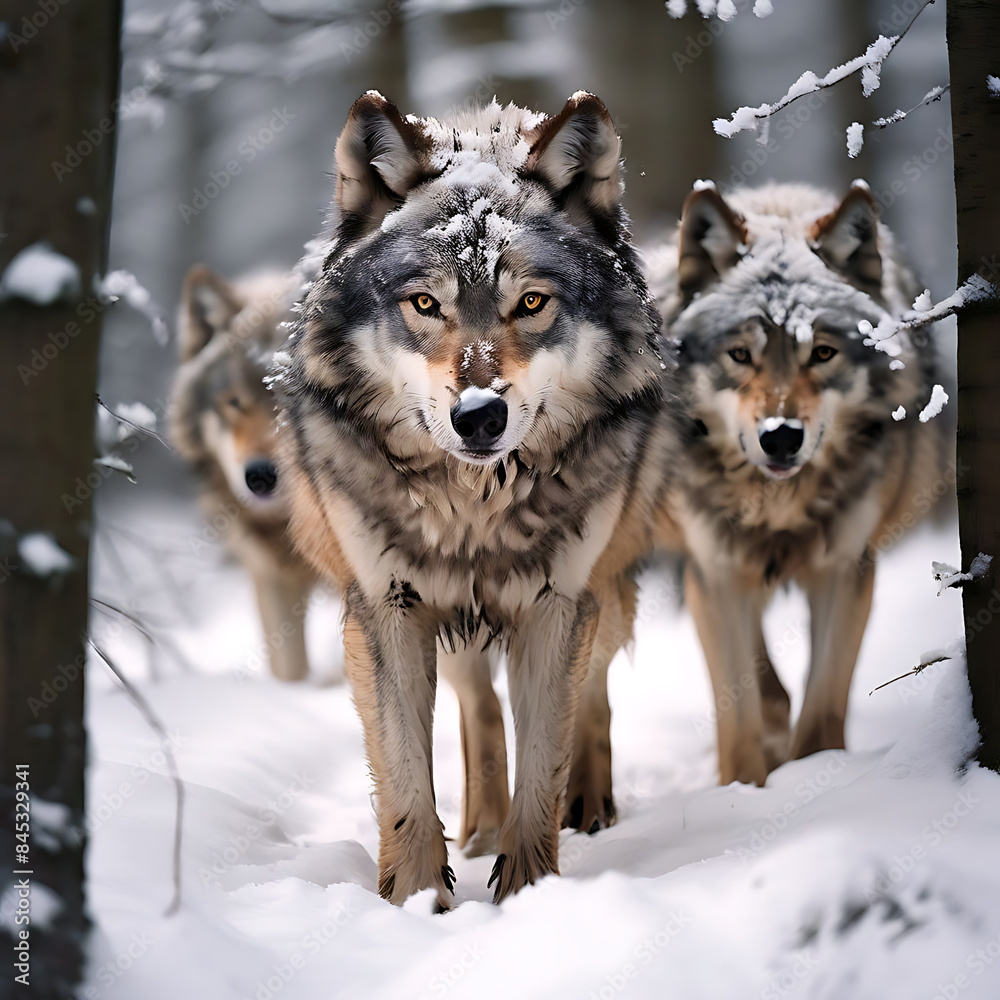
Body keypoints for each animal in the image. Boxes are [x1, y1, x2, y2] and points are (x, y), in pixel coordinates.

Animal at [275, 90, 673, 906]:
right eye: (426, 303)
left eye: (532, 302)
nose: (480, 415)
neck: (474, 511)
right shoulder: (387, 609)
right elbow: (405, 777)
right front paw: (416, 899)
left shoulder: (559, 604)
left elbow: (544, 764)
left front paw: (529, 893)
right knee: (479, 708)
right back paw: (481, 827)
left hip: (604, 587)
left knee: (592, 691)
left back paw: (588, 804)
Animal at [633, 180, 949, 788]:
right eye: (740, 355)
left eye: (822, 353)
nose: (780, 437)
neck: (777, 507)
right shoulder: (716, 574)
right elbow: (739, 716)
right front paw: (742, 790)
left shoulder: (844, 570)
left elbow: (823, 705)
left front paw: (813, 774)